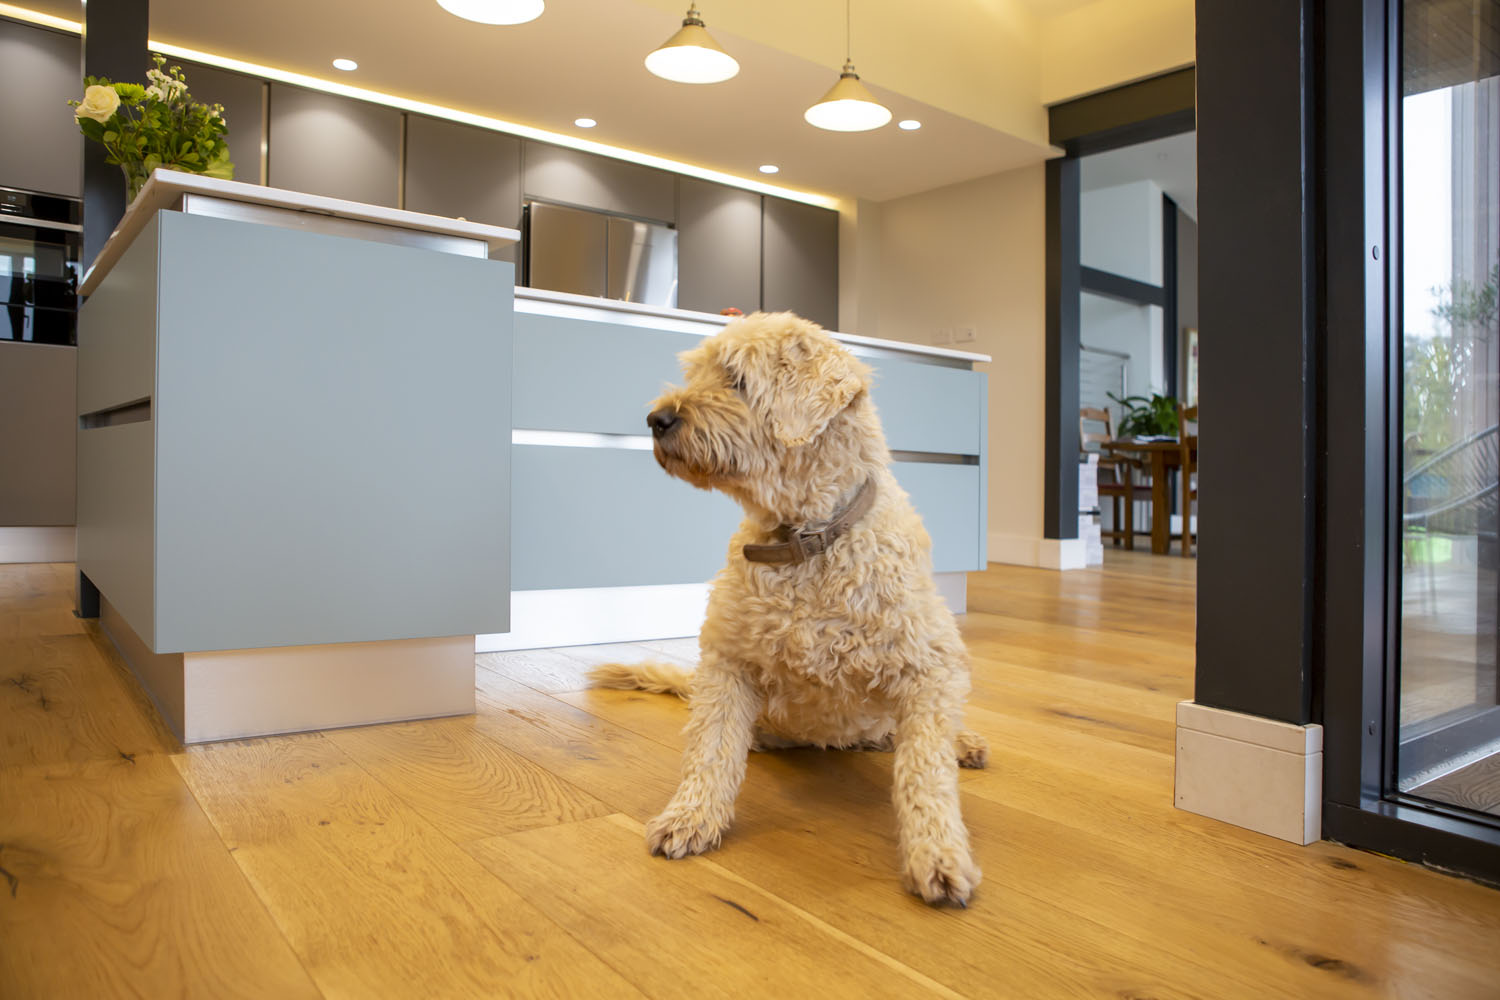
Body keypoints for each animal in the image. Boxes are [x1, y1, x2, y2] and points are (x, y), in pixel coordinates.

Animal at [591, 310, 990, 905]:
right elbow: (709, 751)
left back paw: (961, 742)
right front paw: (690, 817)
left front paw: (938, 856)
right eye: (696, 372)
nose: (655, 419)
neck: (807, 540)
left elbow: (924, 768)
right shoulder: (726, 664)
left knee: (906, 733)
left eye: (736, 378)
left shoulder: (931, 665)